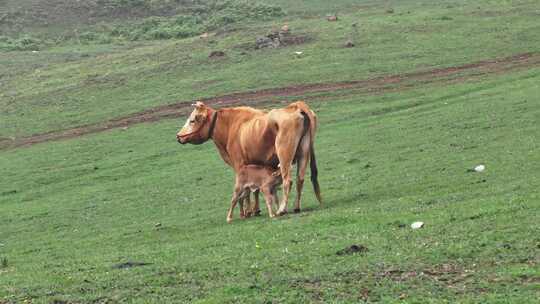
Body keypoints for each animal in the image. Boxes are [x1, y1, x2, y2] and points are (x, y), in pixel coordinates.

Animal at [177, 101, 320, 216]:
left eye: (192, 120)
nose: (178, 136)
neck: (231, 126)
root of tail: (295, 106)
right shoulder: (255, 166)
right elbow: (254, 189)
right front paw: (255, 210)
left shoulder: (239, 165)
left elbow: (244, 192)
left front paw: (246, 212)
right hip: (304, 153)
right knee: (300, 179)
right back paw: (296, 207)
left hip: (284, 155)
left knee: (288, 181)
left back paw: (281, 209)